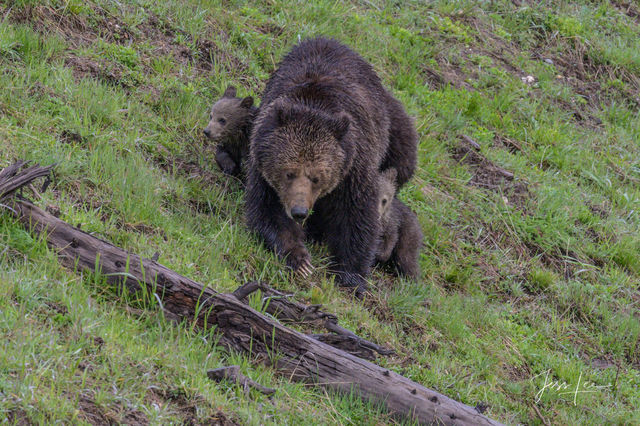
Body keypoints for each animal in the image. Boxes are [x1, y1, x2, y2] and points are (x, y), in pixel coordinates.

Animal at [245, 37, 418, 295]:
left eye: (316, 177)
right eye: (289, 173)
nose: (299, 211)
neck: (314, 105)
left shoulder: (353, 167)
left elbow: (356, 217)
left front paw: (351, 277)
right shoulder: (262, 165)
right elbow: (268, 211)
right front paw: (300, 260)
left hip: (392, 128)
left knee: (404, 156)